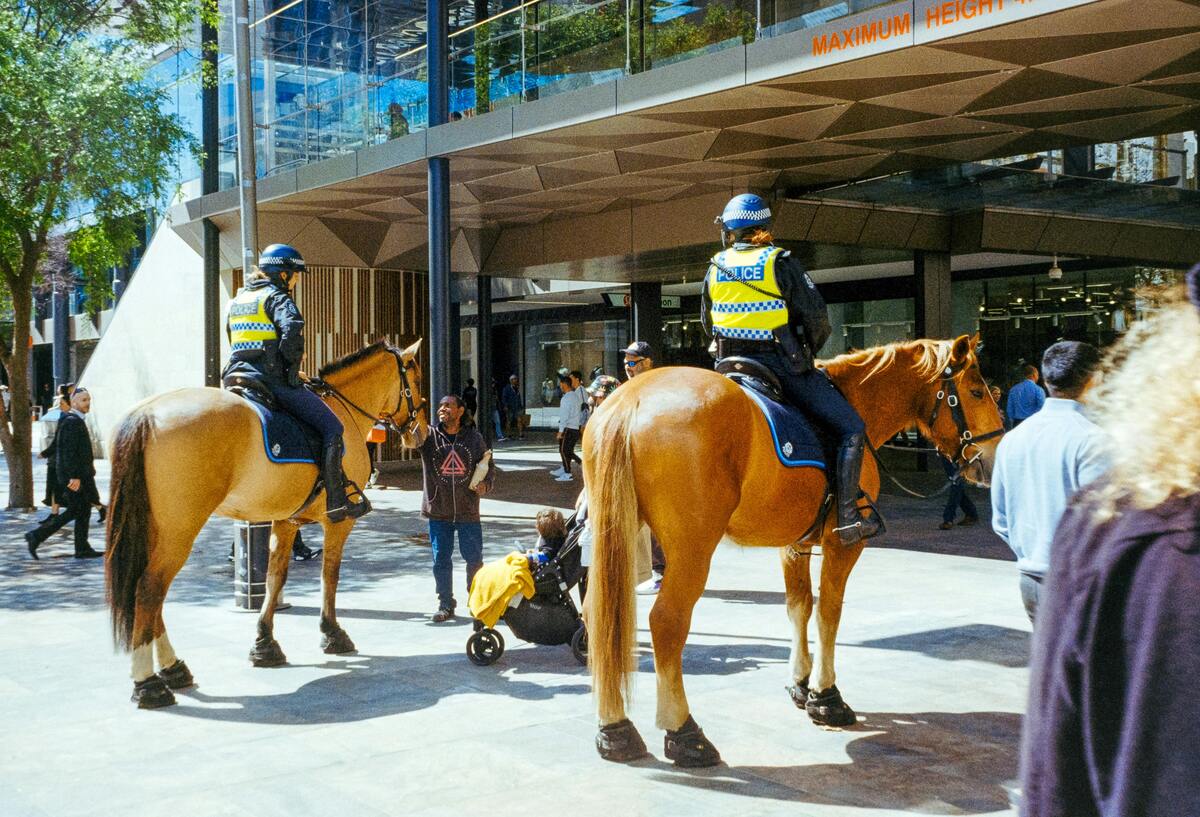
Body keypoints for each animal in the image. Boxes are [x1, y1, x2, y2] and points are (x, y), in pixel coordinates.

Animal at [105, 338, 429, 705]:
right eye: (416, 379)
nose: (421, 432)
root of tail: (145, 414)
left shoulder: (286, 521)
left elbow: (275, 577)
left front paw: (265, 644)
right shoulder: (338, 522)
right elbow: (329, 575)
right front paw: (332, 632)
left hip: (154, 528)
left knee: (149, 593)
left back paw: (173, 668)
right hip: (179, 530)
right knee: (149, 590)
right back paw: (148, 684)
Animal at [580, 333, 1003, 763]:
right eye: (976, 391)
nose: (991, 458)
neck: (857, 400)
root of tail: (630, 402)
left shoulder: (794, 543)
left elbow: (799, 607)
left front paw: (801, 682)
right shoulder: (841, 543)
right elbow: (829, 612)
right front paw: (826, 695)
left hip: (617, 532)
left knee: (598, 614)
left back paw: (615, 728)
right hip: (691, 548)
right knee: (667, 623)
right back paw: (684, 733)